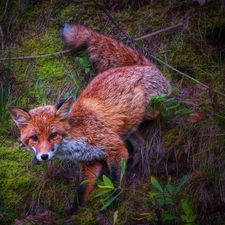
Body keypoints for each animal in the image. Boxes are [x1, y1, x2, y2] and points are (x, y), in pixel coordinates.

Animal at [8, 23, 171, 215]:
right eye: (34, 138)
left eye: (53, 135)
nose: (44, 156)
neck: (77, 141)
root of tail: (141, 66)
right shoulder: (89, 163)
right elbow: (81, 192)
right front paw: (72, 214)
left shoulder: (114, 149)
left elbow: (116, 183)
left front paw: (114, 206)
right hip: (127, 127)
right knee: (141, 144)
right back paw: (131, 164)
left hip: (152, 109)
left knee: (163, 112)